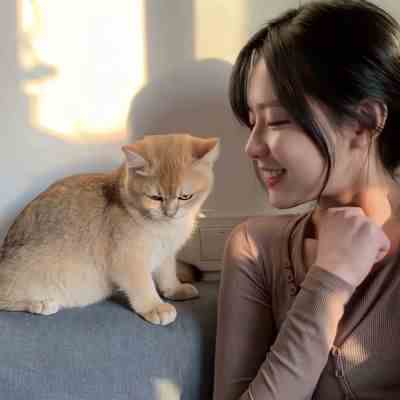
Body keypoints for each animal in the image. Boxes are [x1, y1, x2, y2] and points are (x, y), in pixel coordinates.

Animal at [0, 133, 219, 325]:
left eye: (185, 196)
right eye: (155, 197)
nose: (170, 212)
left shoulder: (166, 254)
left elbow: (167, 274)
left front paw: (174, 290)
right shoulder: (128, 259)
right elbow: (143, 284)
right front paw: (154, 306)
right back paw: (40, 303)